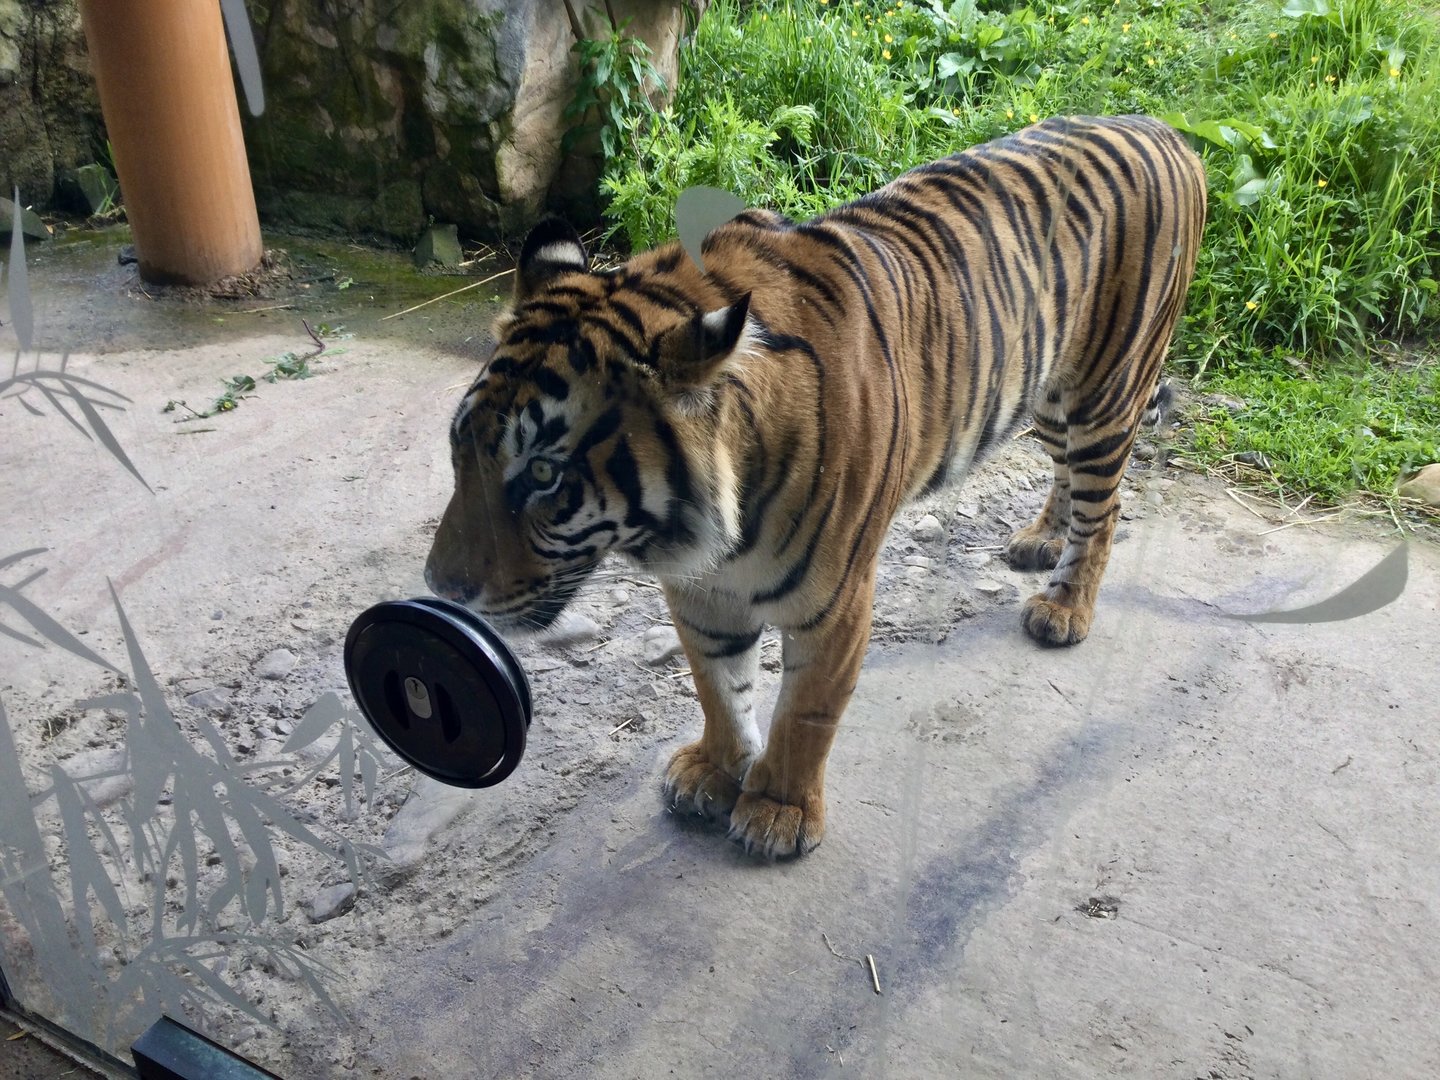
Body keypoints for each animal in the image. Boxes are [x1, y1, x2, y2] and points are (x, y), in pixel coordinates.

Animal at [425, 114, 1208, 859]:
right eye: (459, 449)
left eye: (544, 474)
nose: (439, 587)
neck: (707, 525)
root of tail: (1164, 130)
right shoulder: (702, 591)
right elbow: (717, 686)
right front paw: (716, 770)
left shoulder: (834, 600)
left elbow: (805, 709)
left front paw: (779, 812)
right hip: (1040, 394)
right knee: (1068, 476)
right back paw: (1040, 541)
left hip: (1102, 392)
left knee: (1106, 504)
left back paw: (1065, 607)